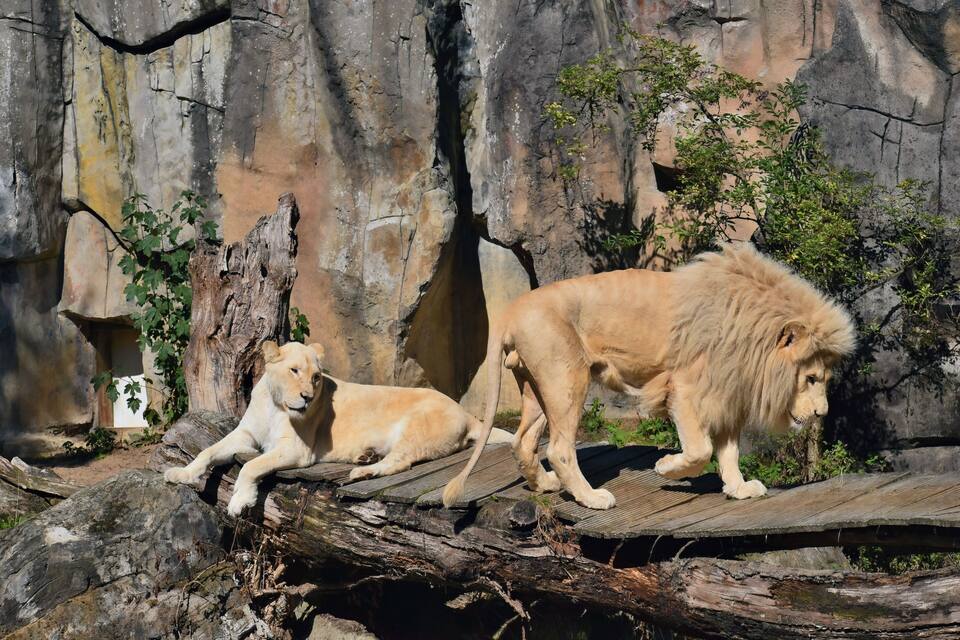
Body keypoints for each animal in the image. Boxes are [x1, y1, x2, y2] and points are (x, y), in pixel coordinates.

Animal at [165, 341, 512, 516]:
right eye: (294, 371)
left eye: (316, 377)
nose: (306, 397)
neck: (275, 403)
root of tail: (467, 413)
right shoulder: (246, 434)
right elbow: (209, 451)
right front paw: (180, 474)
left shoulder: (297, 450)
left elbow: (251, 466)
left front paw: (240, 502)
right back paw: (365, 458)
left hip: (416, 424)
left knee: (401, 461)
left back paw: (361, 471)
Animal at [443, 243, 856, 510]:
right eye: (812, 378)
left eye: (822, 379)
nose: (821, 414)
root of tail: (511, 310)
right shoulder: (686, 390)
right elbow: (701, 449)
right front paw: (667, 468)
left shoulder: (726, 392)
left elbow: (729, 451)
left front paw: (738, 488)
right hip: (567, 379)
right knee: (558, 448)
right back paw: (591, 498)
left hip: (536, 387)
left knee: (523, 440)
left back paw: (546, 484)